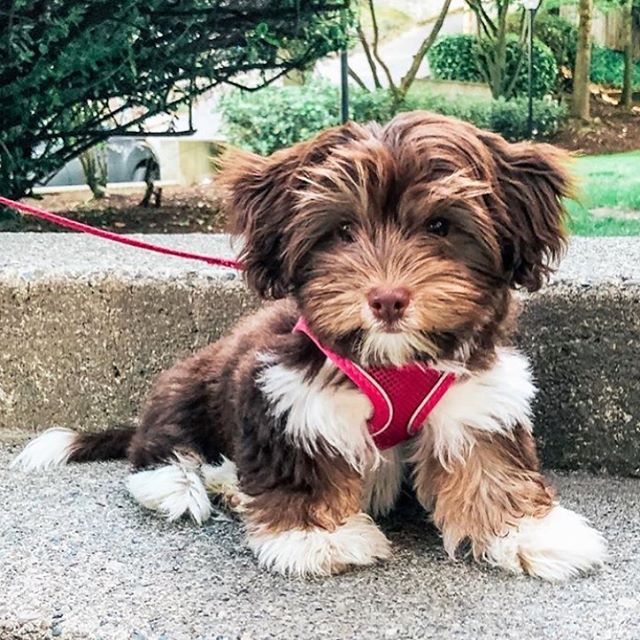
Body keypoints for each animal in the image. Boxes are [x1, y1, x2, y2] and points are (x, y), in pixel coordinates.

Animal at [13, 112, 604, 584]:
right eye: (342, 231)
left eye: (440, 225)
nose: (387, 299)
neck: (390, 360)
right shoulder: (288, 395)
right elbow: (303, 462)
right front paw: (320, 536)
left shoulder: (475, 398)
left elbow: (490, 464)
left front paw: (531, 533)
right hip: (188, 387)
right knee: (160, 452)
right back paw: (192, 484)